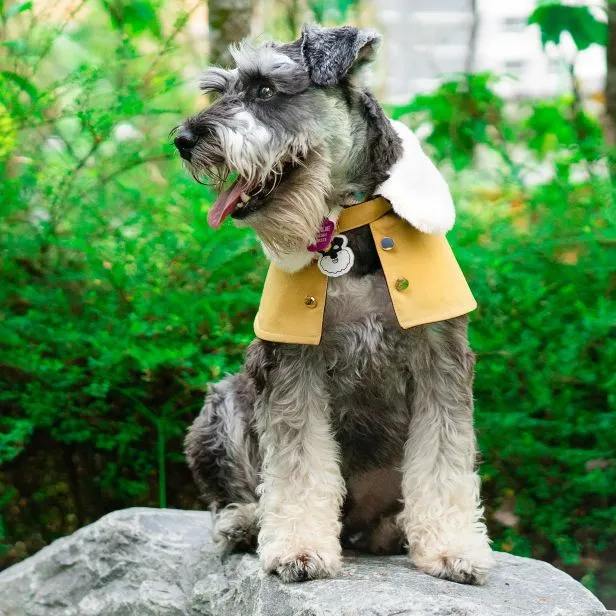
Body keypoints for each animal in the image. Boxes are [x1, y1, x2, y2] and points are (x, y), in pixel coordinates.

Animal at [176, 22, 494, 584]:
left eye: (265, 89)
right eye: (220, 90)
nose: (183, 140)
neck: (348, 227)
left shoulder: (441, 359)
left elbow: (444, 458)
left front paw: (453, 549)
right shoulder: (289, 362)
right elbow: (298, 463)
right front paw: (299, 549)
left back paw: (395, 530)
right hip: (225, 404)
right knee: (236, 490)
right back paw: (246, 522)